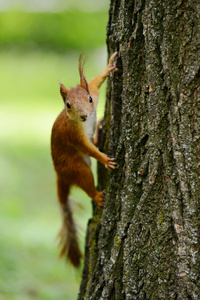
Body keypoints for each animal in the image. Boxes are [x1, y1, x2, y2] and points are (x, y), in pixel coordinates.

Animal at [50, 52, 118, 268]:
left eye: (88, 99)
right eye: (68, 105)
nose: (84, 116)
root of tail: (61, 176)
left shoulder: (95, 94)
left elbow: (96, 82)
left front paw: (108, 68)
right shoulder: (74, 136)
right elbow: (88, 149)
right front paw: (104, 159)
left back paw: (99, 130)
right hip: (77, 169)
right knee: (87, 183)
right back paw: (97, 196)